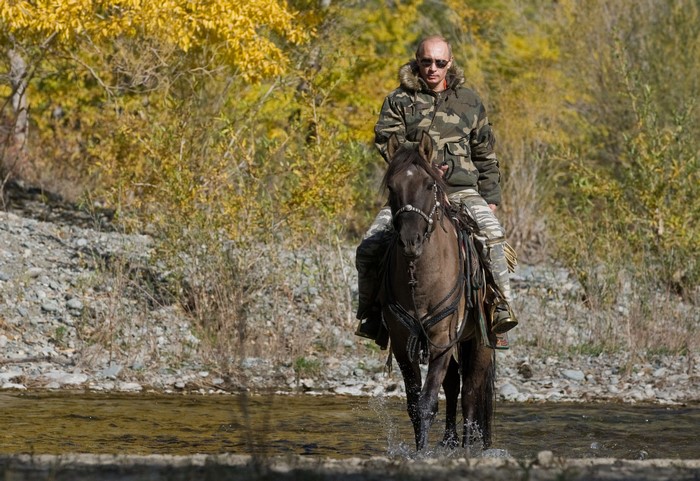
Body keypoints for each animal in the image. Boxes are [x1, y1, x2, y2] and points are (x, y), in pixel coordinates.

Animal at [380, 132, 497, 452]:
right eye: (392, 186)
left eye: (430, 185)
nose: (411, 240)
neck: (420, 279)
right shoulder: (402, 343)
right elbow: (414, 404)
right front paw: (420, 450)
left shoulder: (443, 338)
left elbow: (428, 401)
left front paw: (423, 454)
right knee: (455, 384)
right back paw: (449, 441)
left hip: (479, 342)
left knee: (470, 392)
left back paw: (467, 446)